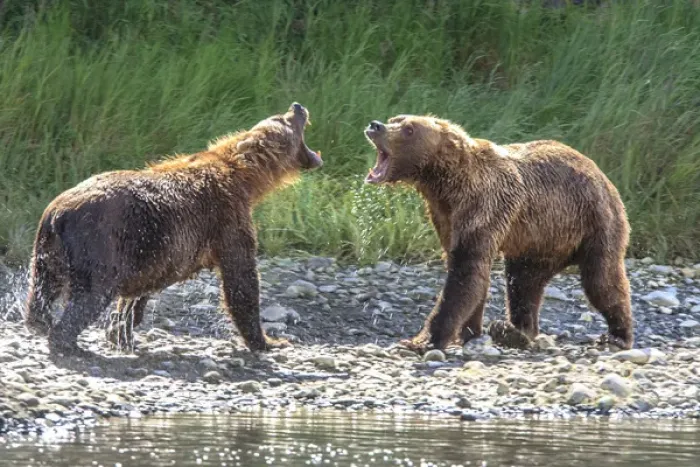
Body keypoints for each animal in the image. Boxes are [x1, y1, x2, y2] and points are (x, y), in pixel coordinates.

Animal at [24, 103, 322, 356]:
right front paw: (269, 341)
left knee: (43, 289)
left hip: (47, 251)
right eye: (285, 118)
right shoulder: (227, 219)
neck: (246, 177)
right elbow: (241, 278)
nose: (298, 106)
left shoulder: (149, 251)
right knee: (92, 293)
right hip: (98, 242)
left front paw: (123, 331)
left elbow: (137, 293)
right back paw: (69, 342)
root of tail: (57, 212)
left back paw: (41, 322)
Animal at [363, 114, 633, 352]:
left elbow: (465, 273)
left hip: (594, 220)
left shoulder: (485, 206)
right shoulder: (445, 217)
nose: (375, 125)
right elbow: (469, 272)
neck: (445, 185)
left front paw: (423, 340)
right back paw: (515, 331)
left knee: (602, 279)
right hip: (539, 239)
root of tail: (601, 173)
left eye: (409, 129)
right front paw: (469, 331)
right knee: (524, 282)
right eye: (395, 119)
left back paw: (618, 335)